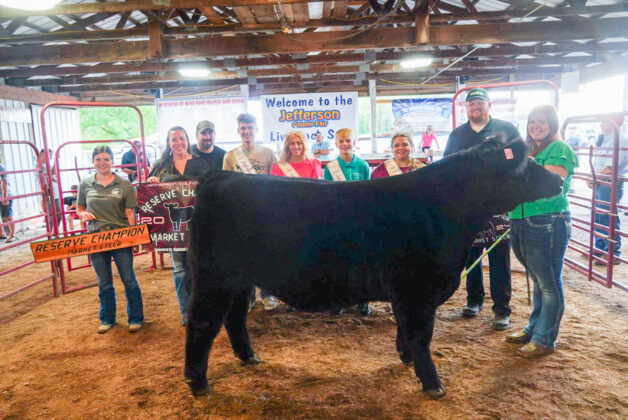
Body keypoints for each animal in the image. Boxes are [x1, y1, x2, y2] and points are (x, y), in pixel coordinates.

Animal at [183, 136, 563, 399]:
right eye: (527, 165)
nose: (559, 181)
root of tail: (218, 177)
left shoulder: (409, 295)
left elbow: (408, 333)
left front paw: (406, 358)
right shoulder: (417, 290)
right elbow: (421, 335)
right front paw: (432, 383)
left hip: (239, 280)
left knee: (233, 318)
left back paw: (249, 357)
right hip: (214, 278)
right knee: (202, 323)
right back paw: (198, 382)